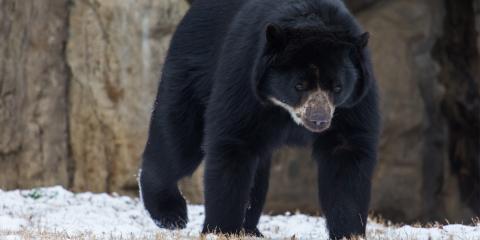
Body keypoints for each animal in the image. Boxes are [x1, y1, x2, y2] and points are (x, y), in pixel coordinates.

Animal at [139, 0, 378, 238]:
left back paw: (251, 229)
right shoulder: (245, 76)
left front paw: (350, 231)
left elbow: (346, 154)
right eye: (299, 85)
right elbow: (233, 144)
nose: (319, 120)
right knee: (179, 140)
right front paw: (222, 229)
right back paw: (171, 214)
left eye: (338, 87)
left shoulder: (354, 102)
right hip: (192, 70)